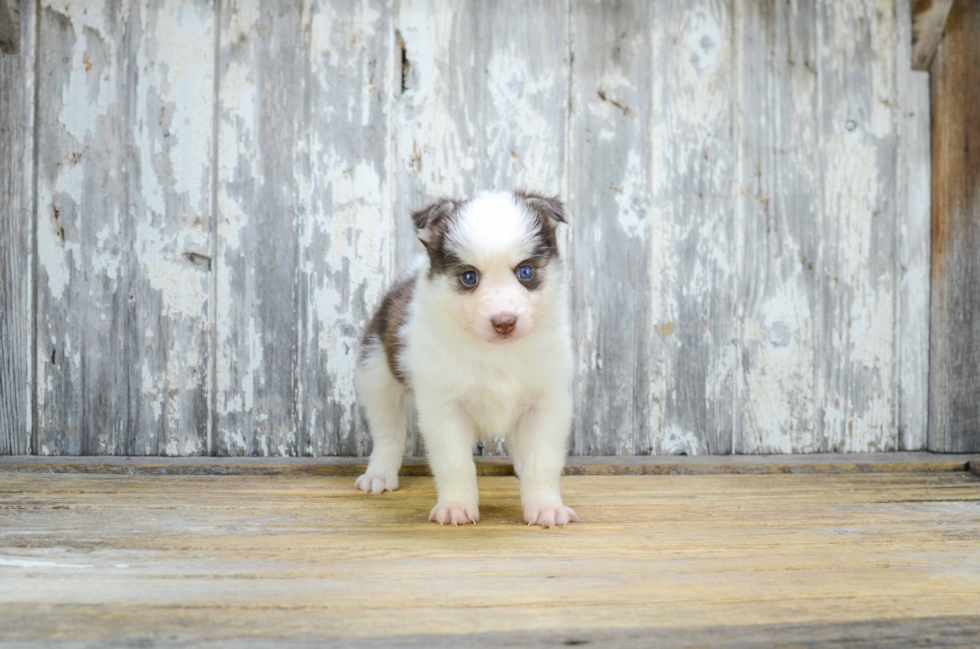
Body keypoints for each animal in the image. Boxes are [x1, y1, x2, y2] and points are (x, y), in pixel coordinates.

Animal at [356, 189, 580, 528]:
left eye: (525, 272)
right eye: (469, 277)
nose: (504, 322)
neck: (496, 352)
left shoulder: (547, 403)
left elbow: (542, 461)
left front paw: (545, 507)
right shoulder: (444, 409)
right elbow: (454, 463)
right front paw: (456, 507)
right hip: (377, 372)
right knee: (389, 431)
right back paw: (379, 474)